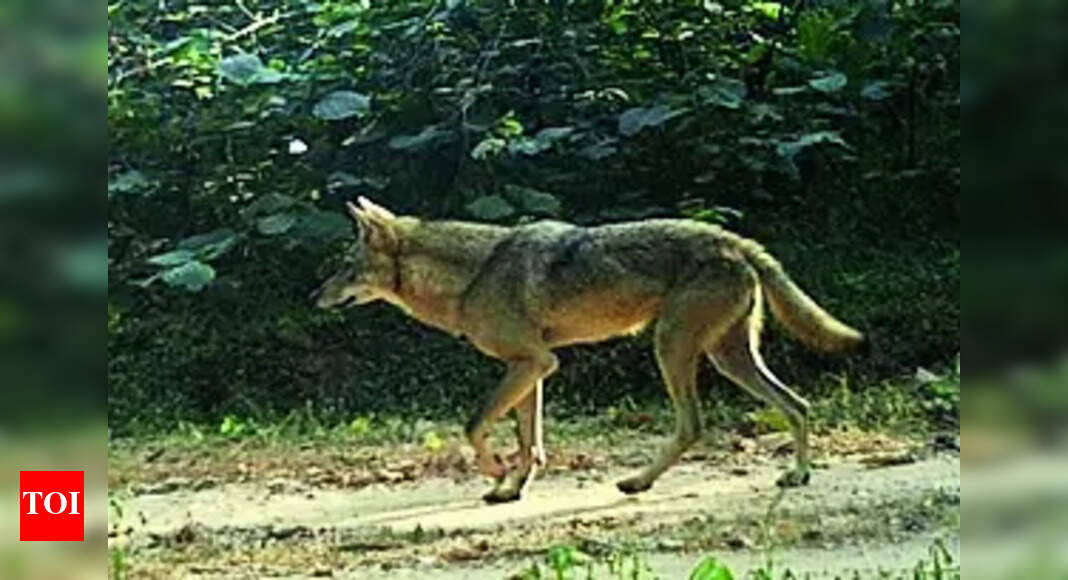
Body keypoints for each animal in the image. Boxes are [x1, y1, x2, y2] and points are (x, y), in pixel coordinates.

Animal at [312, 197, 864, 503]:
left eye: (344, 266)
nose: (314, 297)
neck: (471, 275)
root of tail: (733, 240)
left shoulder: (534, 363)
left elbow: (474, 425)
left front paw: (496, 473)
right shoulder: (532, 368)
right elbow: (530, 443)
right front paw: (510, 489)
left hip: (672, 350)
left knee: (695, 424)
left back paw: (638, 482)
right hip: (728, 358)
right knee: (797, 404)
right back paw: (798, 475)